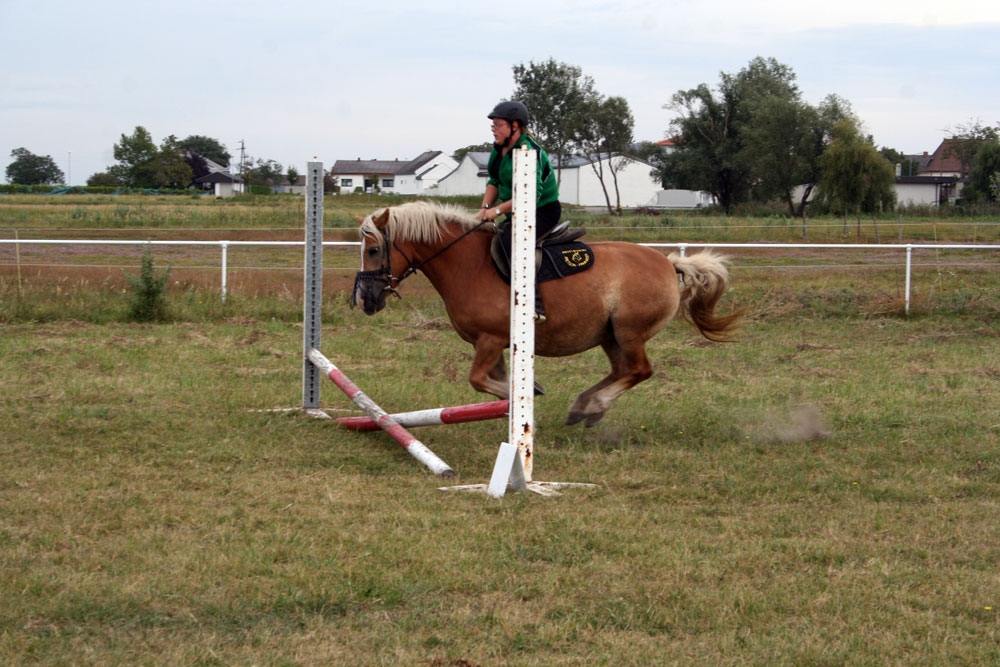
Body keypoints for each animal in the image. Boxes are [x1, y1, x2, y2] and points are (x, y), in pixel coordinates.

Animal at [352, 200, 744, 428]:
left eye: (373, 251)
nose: (366, 300)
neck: (467, 264)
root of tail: (667, 262)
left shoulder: (491, 339)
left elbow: (478, 380)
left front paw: (531, 392)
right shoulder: (490, 344)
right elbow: (492, 382)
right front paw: (520, 400)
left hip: (629, 332)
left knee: (639, 370)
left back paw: (593, 405)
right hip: (611, 335)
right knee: (623, 371)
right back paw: (584, 407)